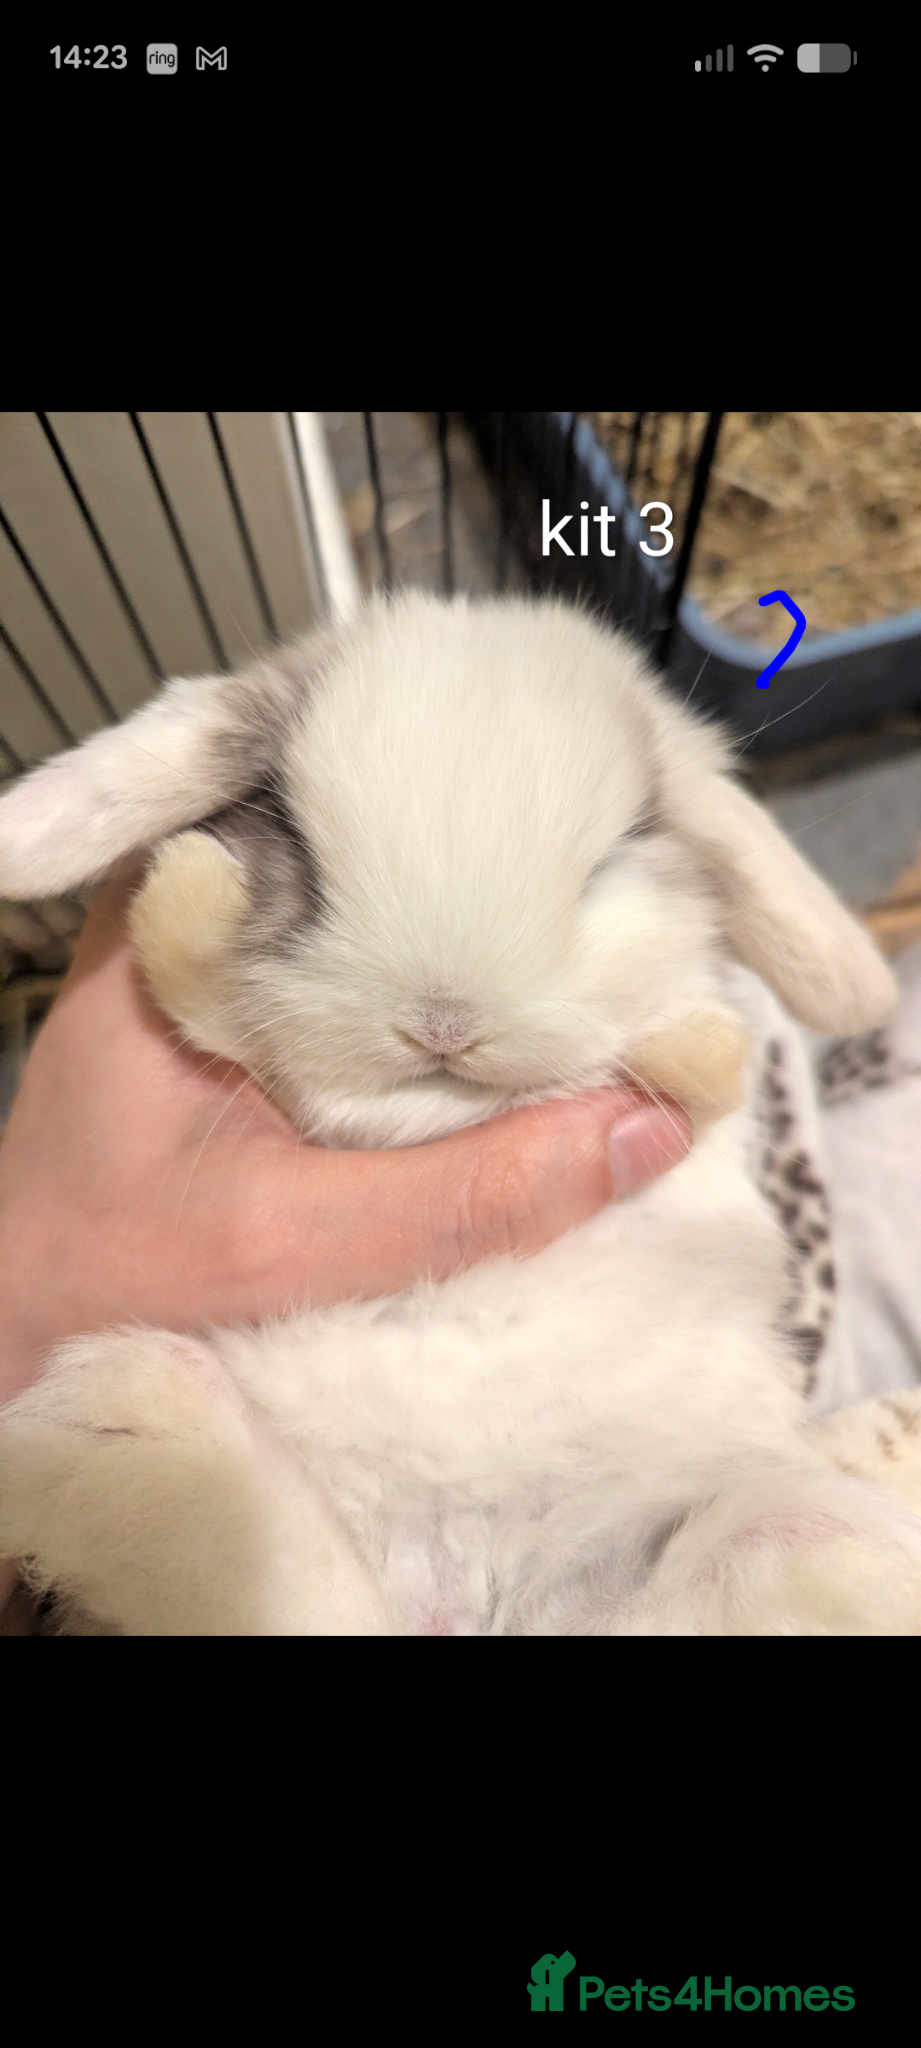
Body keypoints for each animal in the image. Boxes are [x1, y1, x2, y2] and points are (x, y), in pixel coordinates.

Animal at [2, 587, 921, 1636]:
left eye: (609, 861)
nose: (443, 1025)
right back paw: (134, 1423)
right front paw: (186, 895)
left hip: (789, 1538)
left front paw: (695, 1049)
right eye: (297, 842)